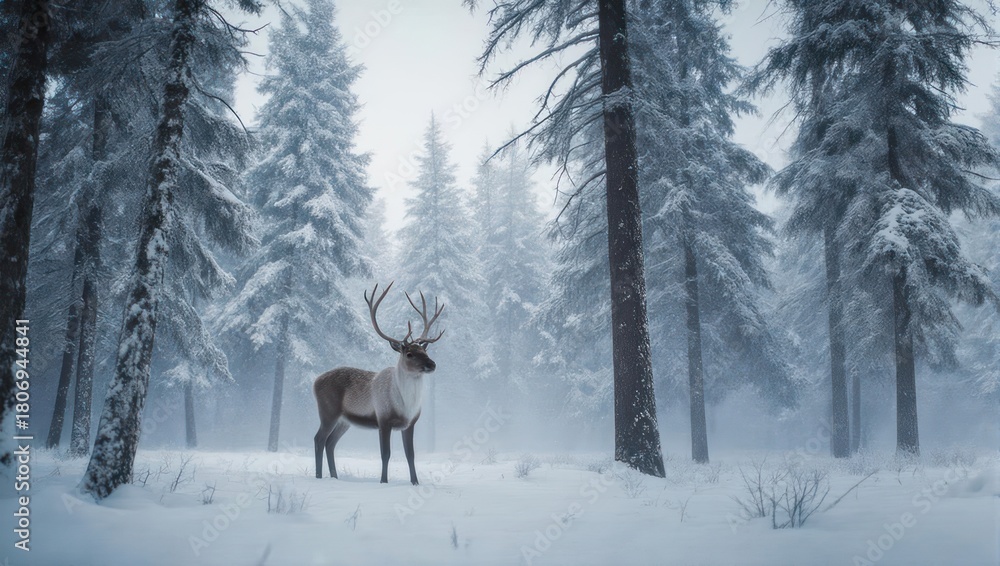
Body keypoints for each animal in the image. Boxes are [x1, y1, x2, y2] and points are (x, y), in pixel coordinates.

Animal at [313, 281, 444, 485]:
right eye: (409, 354)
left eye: (425, 351)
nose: (432, 364)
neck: (406, 405)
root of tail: (314, 381)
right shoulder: (383, 419)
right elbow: (385, 454)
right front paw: (383, 481)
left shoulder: (410, 423)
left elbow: (410, 455)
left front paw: (415, 482)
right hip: (328, 411)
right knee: (319, 439)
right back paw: (319, 477)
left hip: (344, 421)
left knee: (330, 442)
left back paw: (334, 476)